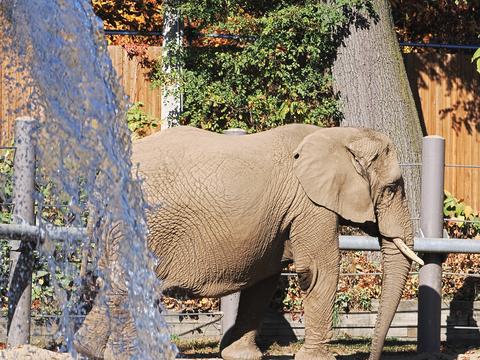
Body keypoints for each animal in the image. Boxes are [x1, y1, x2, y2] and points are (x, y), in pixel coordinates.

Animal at [73, 124, 422, 360]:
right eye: (392, 188)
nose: (373, 356)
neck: (338, 135)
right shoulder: (310, 204)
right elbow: (317, 270)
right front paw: (319, 359)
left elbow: (265, 278)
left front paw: (241, 355)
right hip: (144, 222)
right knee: (130, 284)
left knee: (112, 284)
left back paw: (87, 350)